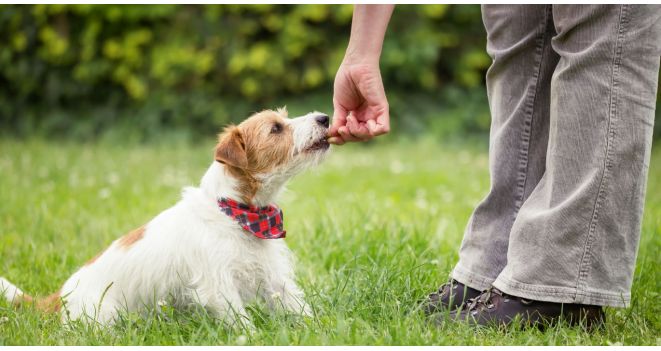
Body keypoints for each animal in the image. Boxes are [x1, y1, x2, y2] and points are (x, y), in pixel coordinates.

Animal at [0, 108, 330, 328]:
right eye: (276, 129)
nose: (325, 118)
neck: (237, 212)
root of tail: (60, 296)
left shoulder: (274, 276)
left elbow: (298, 305)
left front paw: (321, 329)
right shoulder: (218, 285)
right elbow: (241, 322)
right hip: (104, 316)